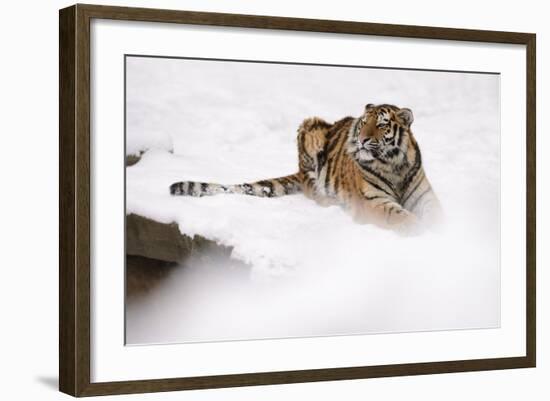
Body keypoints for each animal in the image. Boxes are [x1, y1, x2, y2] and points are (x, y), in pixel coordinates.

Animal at [170, 104, 442, 234]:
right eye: (364, 123)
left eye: (382, 124)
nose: (363, 139)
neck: (395, 165)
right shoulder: (373, 202)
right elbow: (401, 217)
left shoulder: (425, 197)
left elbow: (437, 215)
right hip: (310, 129)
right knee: (312, 188)